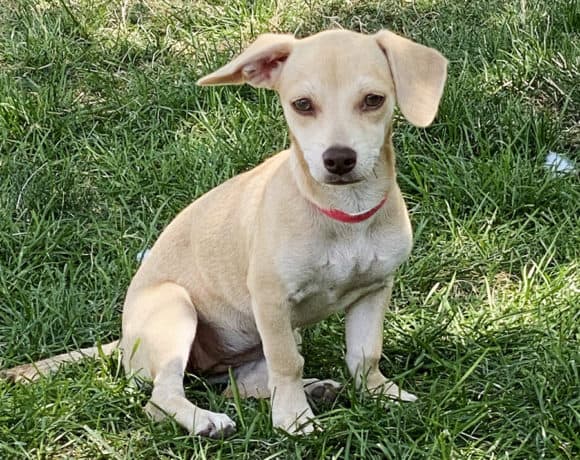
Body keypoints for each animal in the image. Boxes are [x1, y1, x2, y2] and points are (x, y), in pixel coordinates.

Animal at [3, 28, 448, 438]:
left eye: (373, 100)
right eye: (302, 105)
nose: (338, 159)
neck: (345, 213)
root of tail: (124, 341)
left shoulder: (374, 290)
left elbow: (365, 354)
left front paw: (379, 392)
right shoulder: (271, 300)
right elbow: (287, 362)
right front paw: (294, 419)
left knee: (241, 384)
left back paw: (314, 389)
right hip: (175, 309)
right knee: (161, 398)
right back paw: (206, 421)